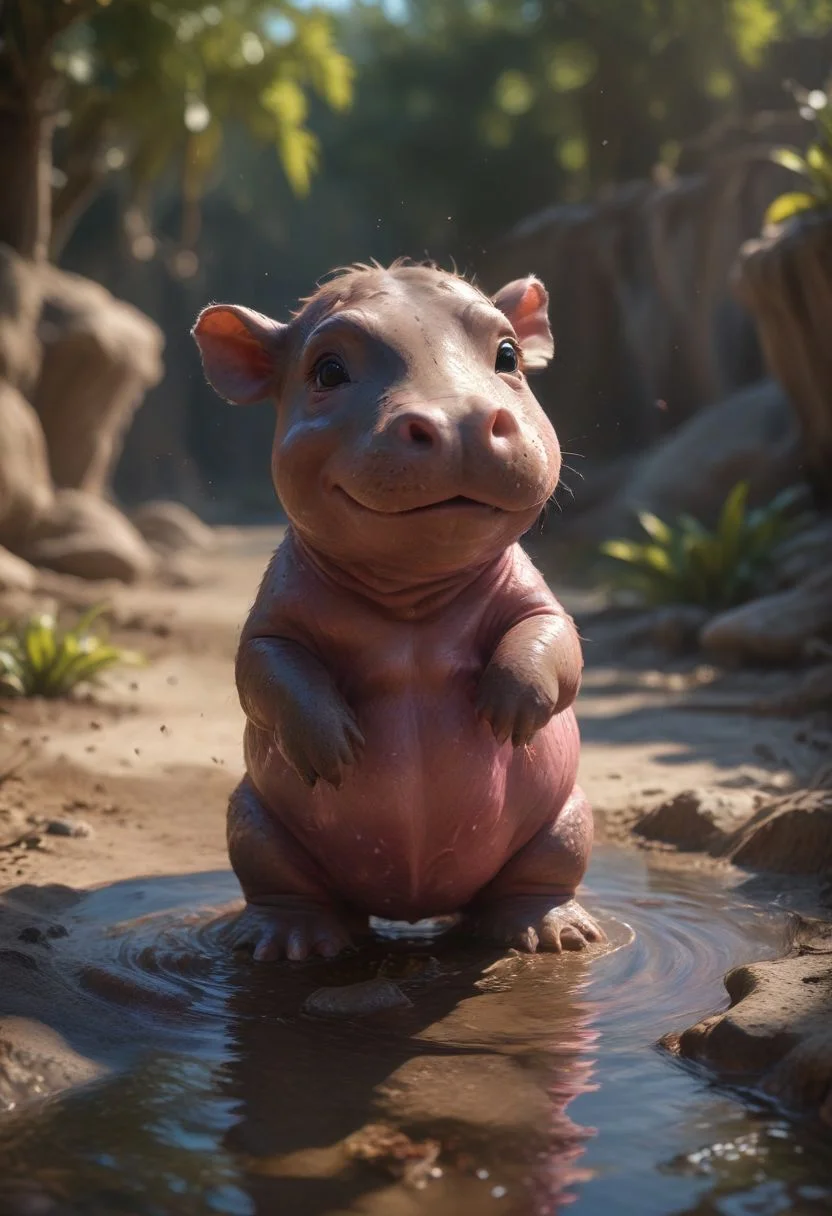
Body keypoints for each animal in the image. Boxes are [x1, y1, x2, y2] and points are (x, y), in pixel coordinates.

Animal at [192, 260, 603, 962]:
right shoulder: (276, 612)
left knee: (539, 877)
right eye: (328, 370)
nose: (462, 421)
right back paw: (291, 942)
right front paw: (334, 749)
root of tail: (416, 909)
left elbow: (553, 639)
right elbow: (267, 670)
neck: (410, 598)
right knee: (282, 885)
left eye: (508, 355)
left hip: (565, 818)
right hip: (253, 822)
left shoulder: (532, 592)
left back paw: (550, 933)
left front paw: (507, 713)